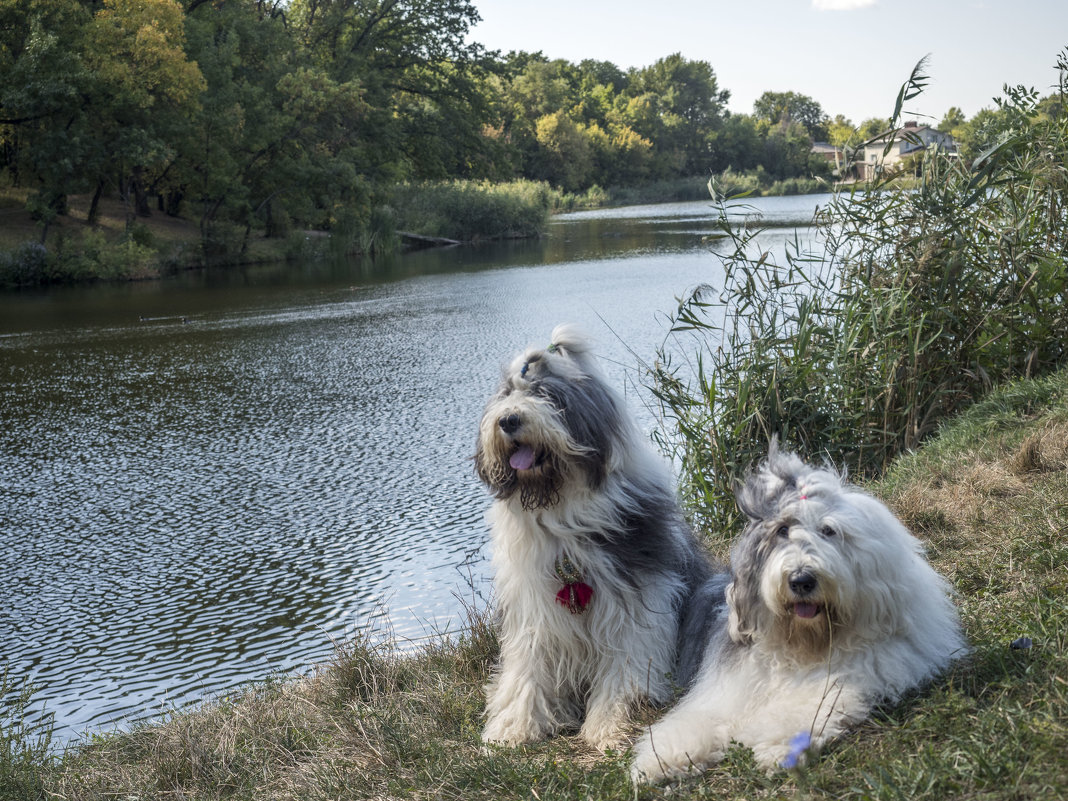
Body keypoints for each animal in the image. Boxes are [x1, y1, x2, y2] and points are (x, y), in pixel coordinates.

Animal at [478, 326, 713, 751]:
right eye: (506, 394)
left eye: (547, 395)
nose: (508, 420)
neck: (561, 507)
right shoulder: (531, 605)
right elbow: (527, 665)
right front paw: (514, 727)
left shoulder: (636, 603)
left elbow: (626, 662)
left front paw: (612, 724)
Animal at [627, 442, 974, 781]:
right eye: (782, 530)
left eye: (828, 531)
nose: (801, 580)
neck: (805, 644)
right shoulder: (731, 688)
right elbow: (703, 715)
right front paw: (663, 758)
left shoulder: (855, 674)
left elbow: (806, 706)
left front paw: (777, 745)